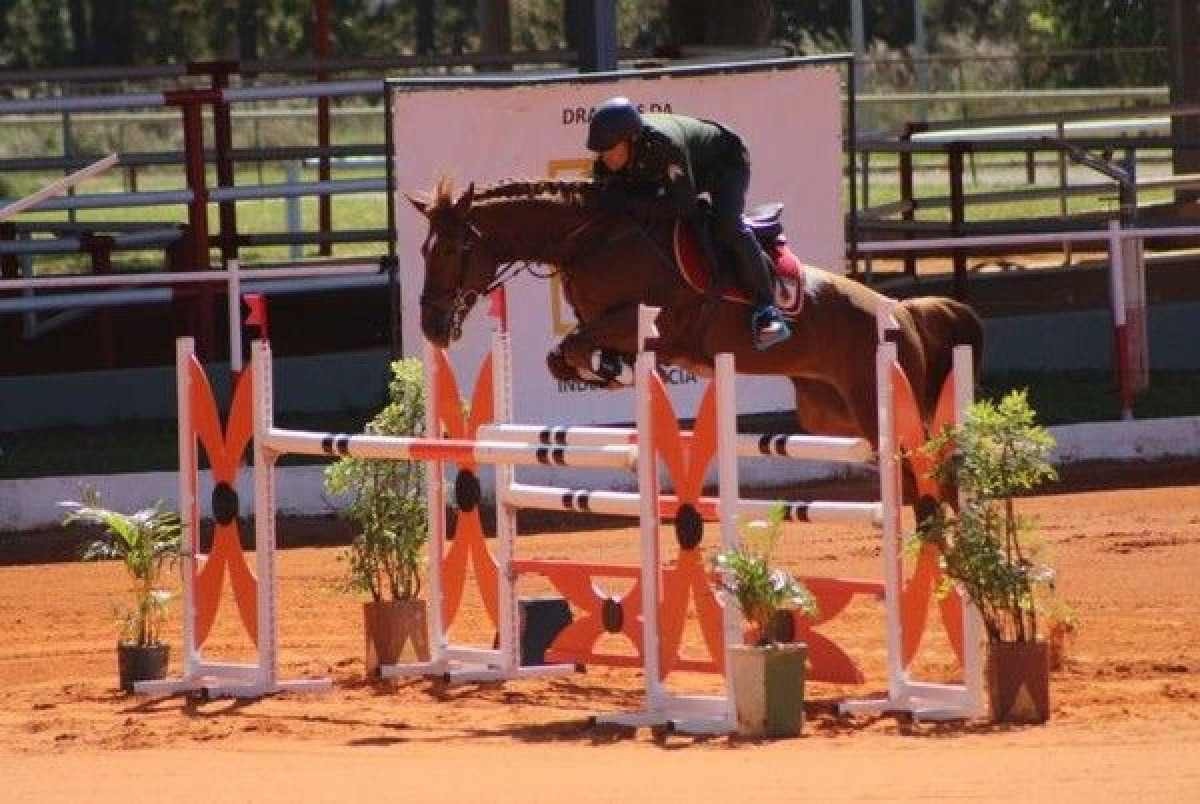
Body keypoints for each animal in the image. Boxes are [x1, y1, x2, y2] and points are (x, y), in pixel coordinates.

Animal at [408, 176, 979, 451]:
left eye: (453, 250)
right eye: (423, 251)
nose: (432, 326)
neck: (592, 239)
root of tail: (897, 310)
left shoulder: (651, 320)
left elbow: (573, 343)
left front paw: (601, 370)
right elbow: (565, 352)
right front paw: (604, 371)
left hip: (878, 401)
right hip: (829, 412)